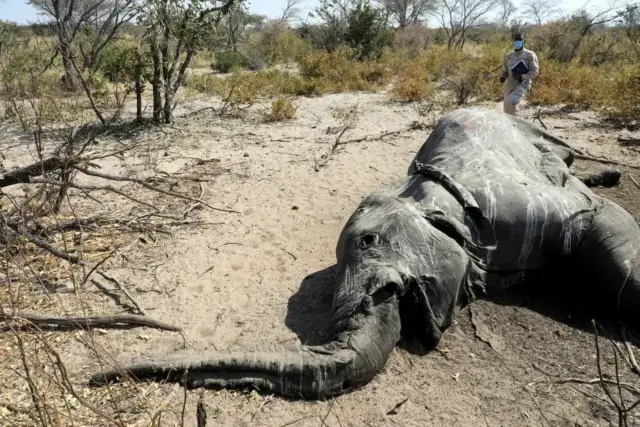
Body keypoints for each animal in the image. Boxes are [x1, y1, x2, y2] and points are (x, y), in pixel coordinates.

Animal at [89, 107, 640, 401]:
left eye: (369, 242)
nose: (98, 376)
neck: (425, 188)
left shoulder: (517, 206)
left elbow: (603, 227)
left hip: (533, 131)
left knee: (566, 156)